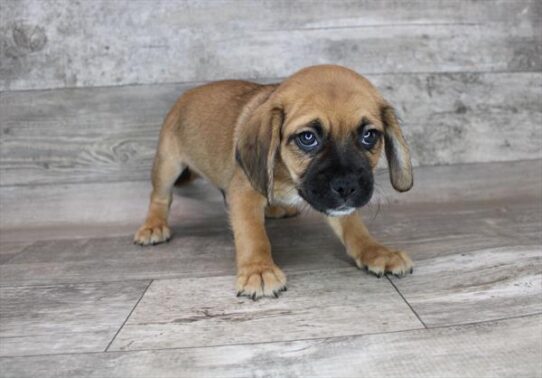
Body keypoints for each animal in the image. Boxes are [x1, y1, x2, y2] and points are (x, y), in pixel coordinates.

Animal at [134, 65, 414, 298]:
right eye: (308, 138)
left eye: (369, 135)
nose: (346, 186)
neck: (288, 177)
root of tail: (188, 94)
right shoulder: (244, 192)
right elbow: (251, 233)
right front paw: (258, 269)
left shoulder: (336, 204)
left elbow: (354, 227)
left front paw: (376, 251)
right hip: (168, 162)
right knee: (160, 196)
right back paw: (153, 225)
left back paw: (275, 207)